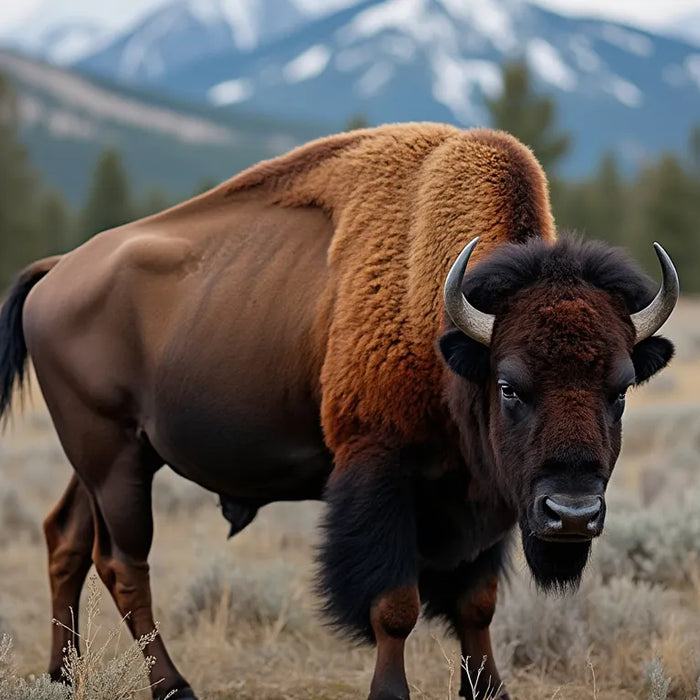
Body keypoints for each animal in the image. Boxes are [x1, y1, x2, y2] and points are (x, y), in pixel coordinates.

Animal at [0, 124, 677, 699]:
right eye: (510, 386)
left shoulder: (485, 499)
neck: (444, 322)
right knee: (123, 563)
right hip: (114, 456)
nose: (573, 514)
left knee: (66, 539)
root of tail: (58, 271)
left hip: (105, 459)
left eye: (620, 389)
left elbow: (476, 605)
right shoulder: (381, 470)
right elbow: (395, 605)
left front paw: (490, 692)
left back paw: (62, 678)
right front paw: (390, 692)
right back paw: (174, 687)